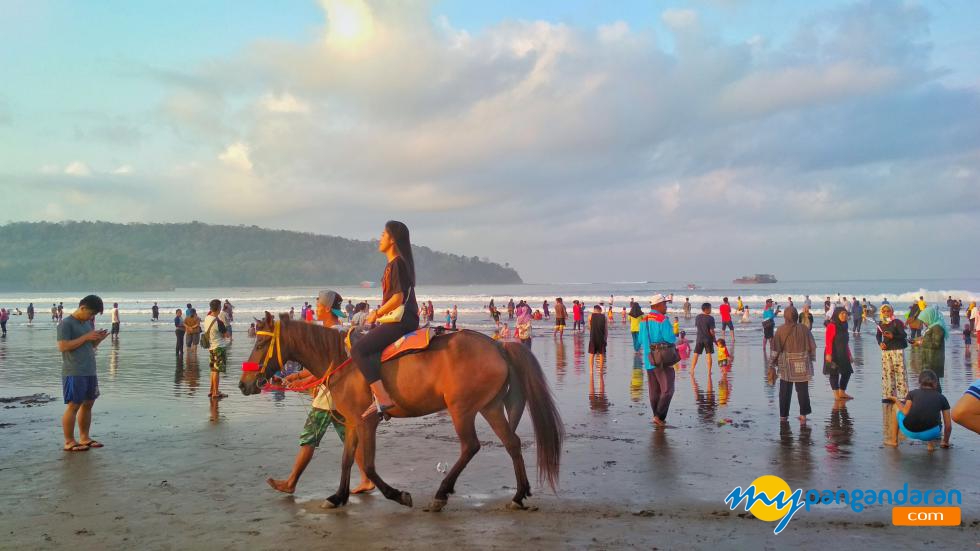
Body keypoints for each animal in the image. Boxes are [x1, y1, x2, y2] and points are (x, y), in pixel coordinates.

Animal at [238, 314, 564, 512]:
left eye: (261, 342)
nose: (244, 384)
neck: (342, 362)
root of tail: (498, 346)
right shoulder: (354, 423)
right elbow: (347, 461)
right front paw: (339, 496)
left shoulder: (367, 423)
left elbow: (369, 466)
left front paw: (398, 495)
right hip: (490, 406)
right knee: (512, 443)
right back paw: (518, 495)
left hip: (462, 409)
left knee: (470, 446)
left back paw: (441, 494)